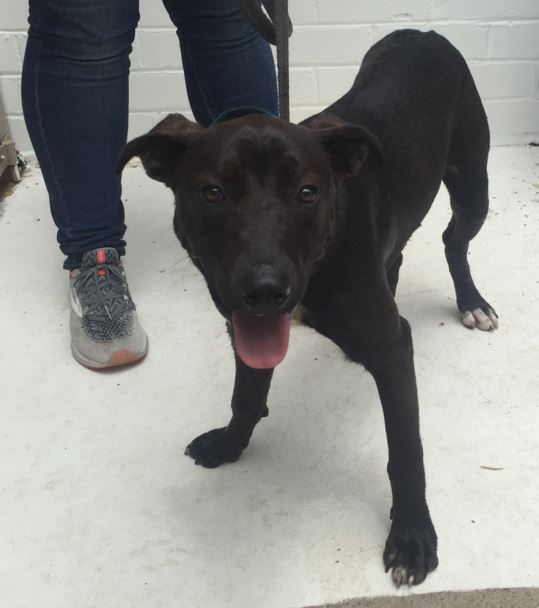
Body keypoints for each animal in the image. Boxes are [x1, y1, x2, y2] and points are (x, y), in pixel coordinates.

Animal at [118, 29, 498, 587]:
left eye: (306, 192)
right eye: (212, 192)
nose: (263, 290)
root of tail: (423, 33)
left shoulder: (393, 347)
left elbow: (406, 451)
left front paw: (411, 535)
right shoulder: (244, 328)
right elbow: (246, 396)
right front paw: (229, 445)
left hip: (474, 185)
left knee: (454, 240)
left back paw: (471, 302)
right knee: (399, 252)